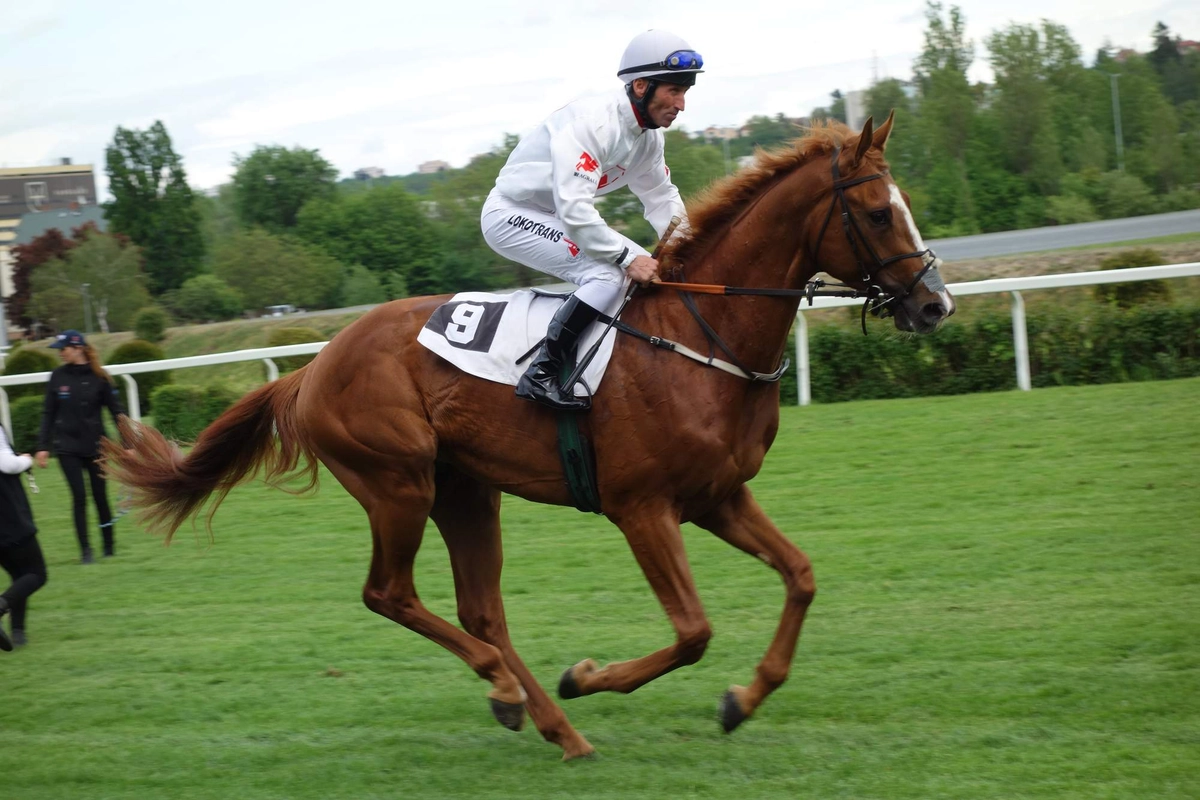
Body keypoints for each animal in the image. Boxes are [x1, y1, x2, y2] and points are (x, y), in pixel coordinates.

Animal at [105, 112, 955, 758]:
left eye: (905, 203)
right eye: (878, 212)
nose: (934, 305)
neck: (698, 335)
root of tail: (311, 369)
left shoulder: (717, 497)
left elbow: (801, 577)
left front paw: (743, 698)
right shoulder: (641, 508)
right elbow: (692, 630)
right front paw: (588, 675)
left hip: (466, 492)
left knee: (481, 611)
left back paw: (546, 720)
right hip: (398, 484)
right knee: (391, 594)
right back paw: (514, 689)